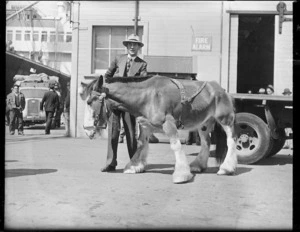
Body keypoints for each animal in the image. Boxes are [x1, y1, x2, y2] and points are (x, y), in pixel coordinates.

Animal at [79, 75, 237, 184]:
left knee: (231, 141)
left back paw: (226, 168)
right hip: (204, 124)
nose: (87, 130)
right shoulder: (146, 126)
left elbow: (176, 146)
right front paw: (134, 166)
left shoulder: (169, 124)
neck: (148, 96)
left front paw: (181, 174)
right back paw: (198, 165)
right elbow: (141, 144)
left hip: (225, 120)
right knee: (206, 142)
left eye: (89, 102)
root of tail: (221, 90)